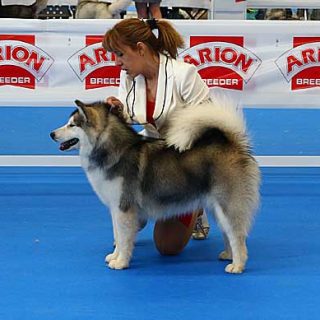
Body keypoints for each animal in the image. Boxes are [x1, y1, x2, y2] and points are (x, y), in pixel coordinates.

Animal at [50, 99, 260, 272]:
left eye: (71, 125)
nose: (51, 134)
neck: (112, 150)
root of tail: (232, 143)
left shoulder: (124, 207)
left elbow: (124, 238)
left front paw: (121, 262)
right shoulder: (115, 208)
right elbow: (117, 235)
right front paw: (114, 256)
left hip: (227, 204)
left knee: (237, 235)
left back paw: (238, 265)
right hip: (217, 207)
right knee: (228, 233)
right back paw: (228, 255)